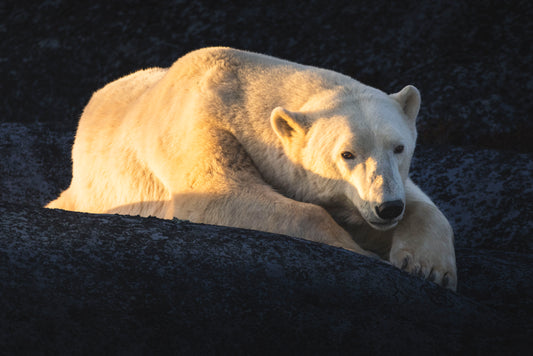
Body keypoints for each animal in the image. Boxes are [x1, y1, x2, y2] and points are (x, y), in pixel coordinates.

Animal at [47, 47, 458, 290]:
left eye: (399, 147)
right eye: (347, 154)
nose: (387, 207)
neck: (238, 85)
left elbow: (423, 203)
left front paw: (427, 266)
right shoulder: (200, 123)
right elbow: (217, 194)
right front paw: (357, 249)